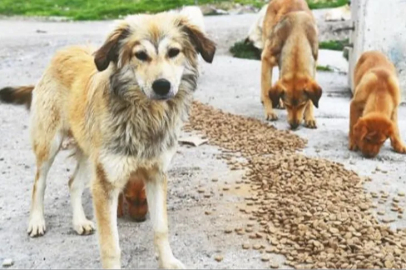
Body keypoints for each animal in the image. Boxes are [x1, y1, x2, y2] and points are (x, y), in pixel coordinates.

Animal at [0, 11, 216, 268]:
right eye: (140, 55)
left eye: (174, 52)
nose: (162, 86)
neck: (145, 117)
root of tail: (63, 51)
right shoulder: (106, 184)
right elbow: (111, 246)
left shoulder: (155, 175)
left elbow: (161, 229)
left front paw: (168, 262)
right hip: (50, 144)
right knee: (38, 183)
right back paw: (36, 221)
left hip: (89, 153)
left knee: (73, 182)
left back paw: (79, 222)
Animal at [262, 0, 322, 130]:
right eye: (287, 104)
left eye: (302, 104)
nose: (294, 125)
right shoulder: (266, 59)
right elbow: (266, 90)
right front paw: (269, 111)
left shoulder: (313, 66)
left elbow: (311, 101)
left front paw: (309, 117)